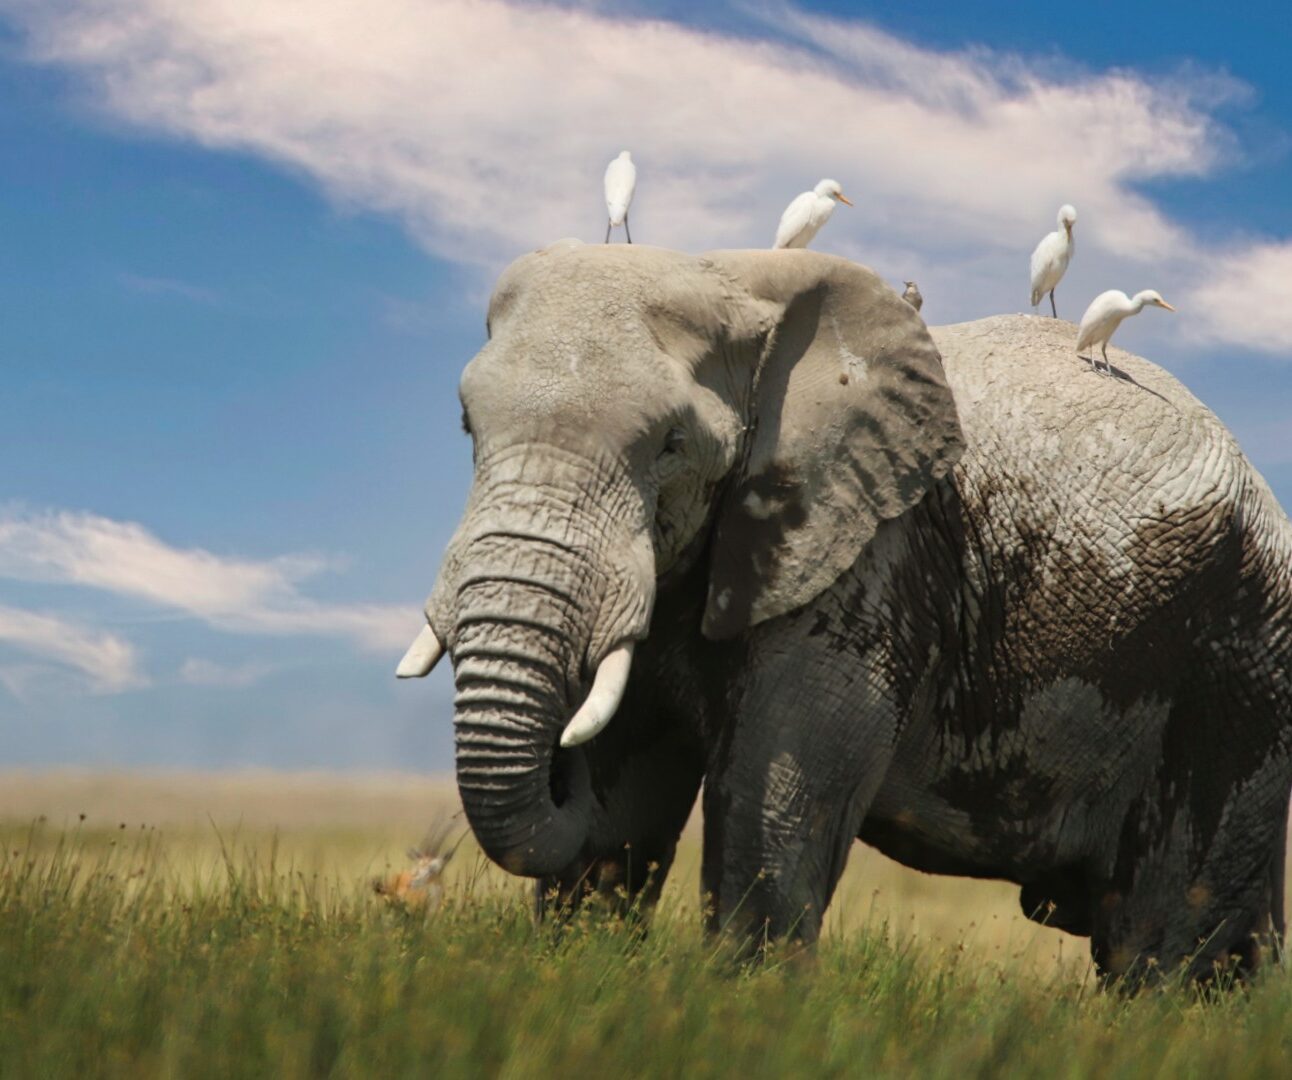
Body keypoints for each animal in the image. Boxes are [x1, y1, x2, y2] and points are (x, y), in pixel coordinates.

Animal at [398, 240, 1292, 985]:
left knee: (1161, 943)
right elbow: (621, 809)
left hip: (1240, 664)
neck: (734, 279)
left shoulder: (868, 558)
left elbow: (773, 803)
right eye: (467, 426)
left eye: (672, 446)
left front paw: (747, 1006)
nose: (558, 768)